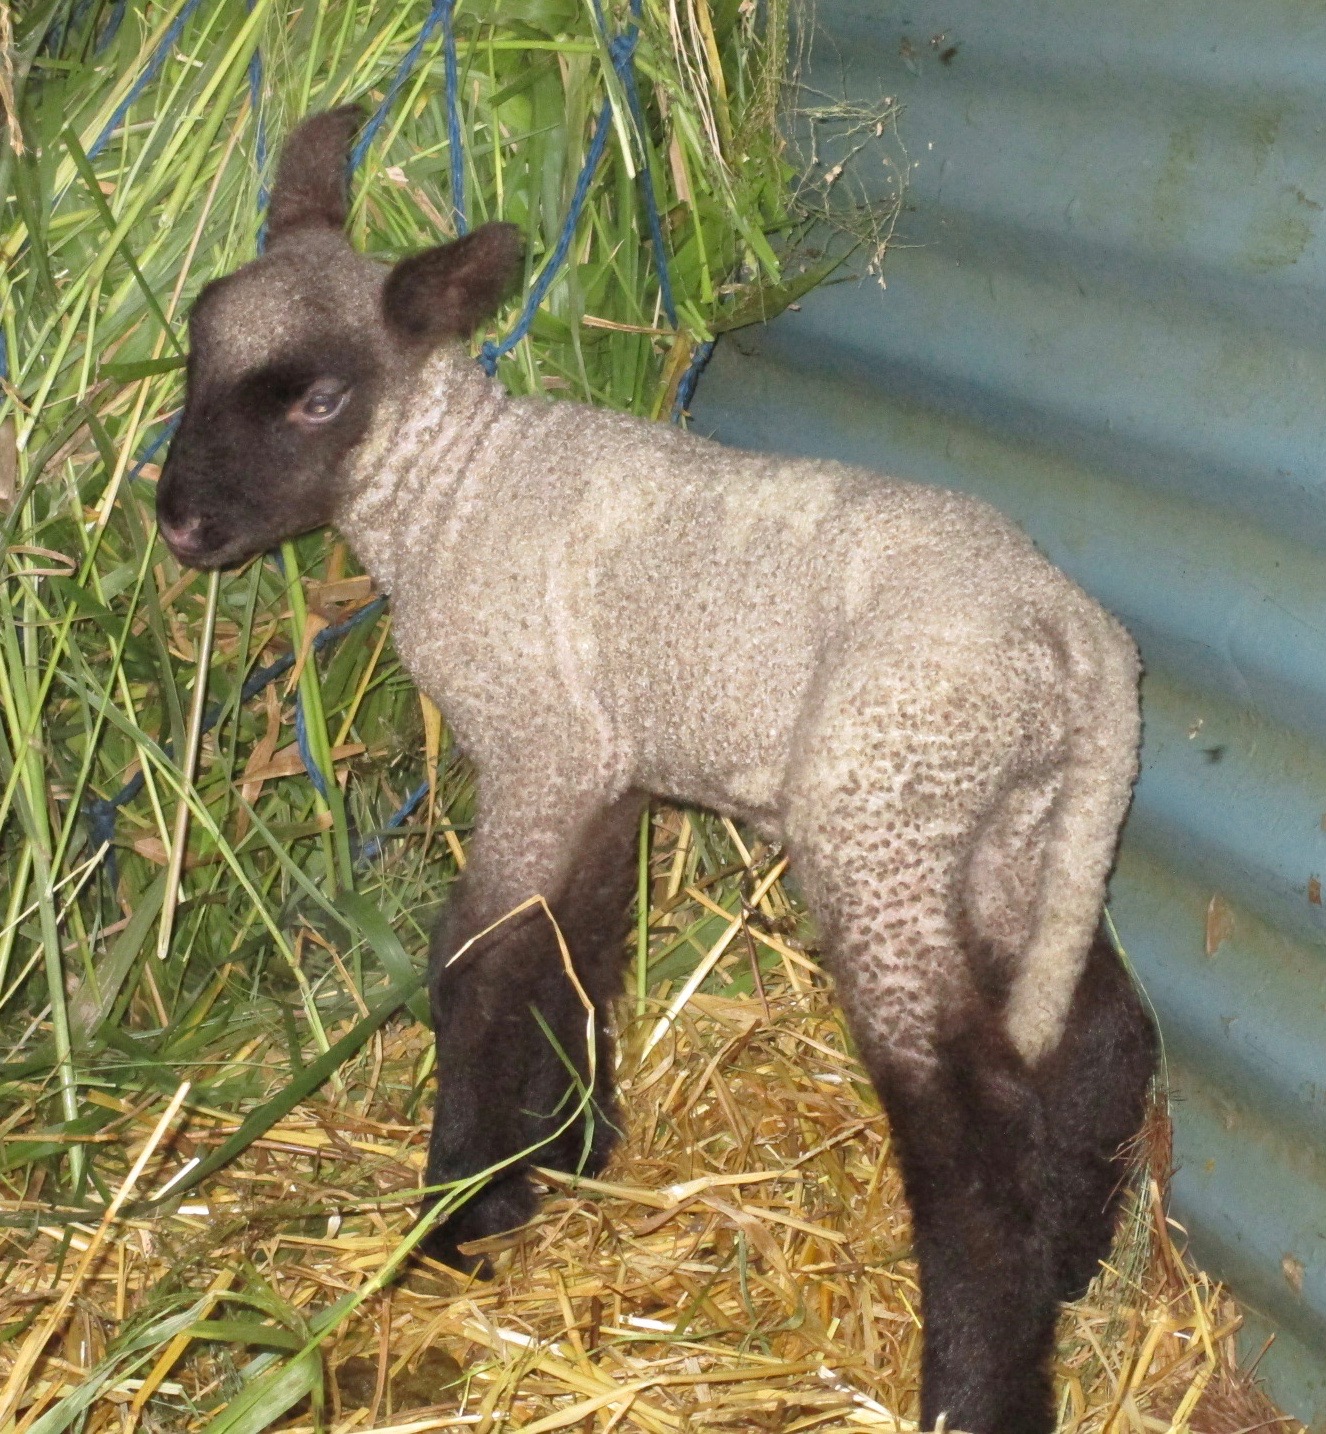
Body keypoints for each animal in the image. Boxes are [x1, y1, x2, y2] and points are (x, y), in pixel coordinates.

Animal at [152, 108, 1146, 1434]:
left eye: (316, 398)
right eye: (195, 357)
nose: (180, 524)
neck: (454, 495)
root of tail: (1079, 644)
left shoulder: (537, 746)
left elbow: (476, 965)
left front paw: (458, 1215)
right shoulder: (602, 772)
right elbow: (573, 950)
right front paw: (565, 1155)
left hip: (877, 816)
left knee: (971, 1125)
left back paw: (976, 1389)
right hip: (1010, 828)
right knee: (1102, 1038)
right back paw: (1071, 1272)